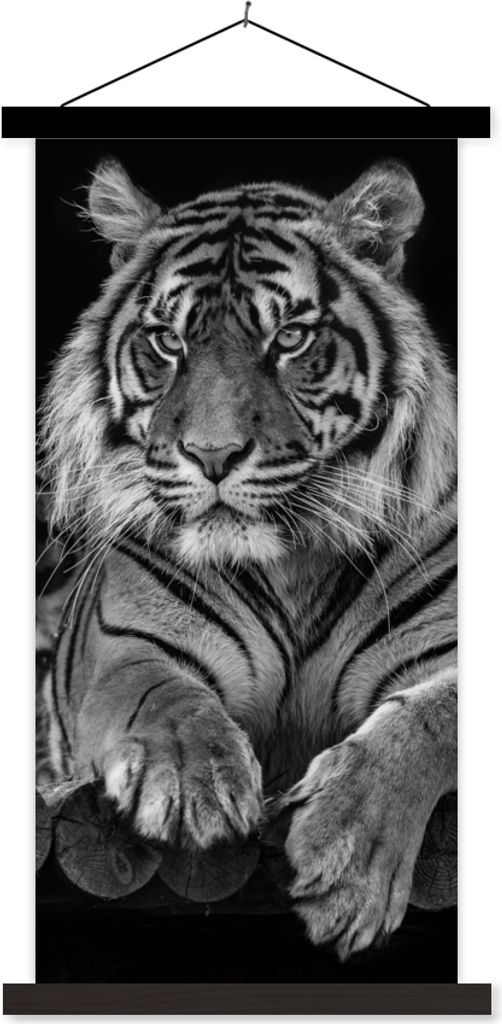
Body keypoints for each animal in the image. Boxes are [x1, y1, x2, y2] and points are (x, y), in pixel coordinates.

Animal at [38, 157, 457, 961]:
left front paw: (348, 857)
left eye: (290, 338)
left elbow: (431, 718)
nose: (212, 455)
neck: (292, 563)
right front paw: (191, 783)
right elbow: (161, 694)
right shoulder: (123, 644)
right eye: (167, 341)